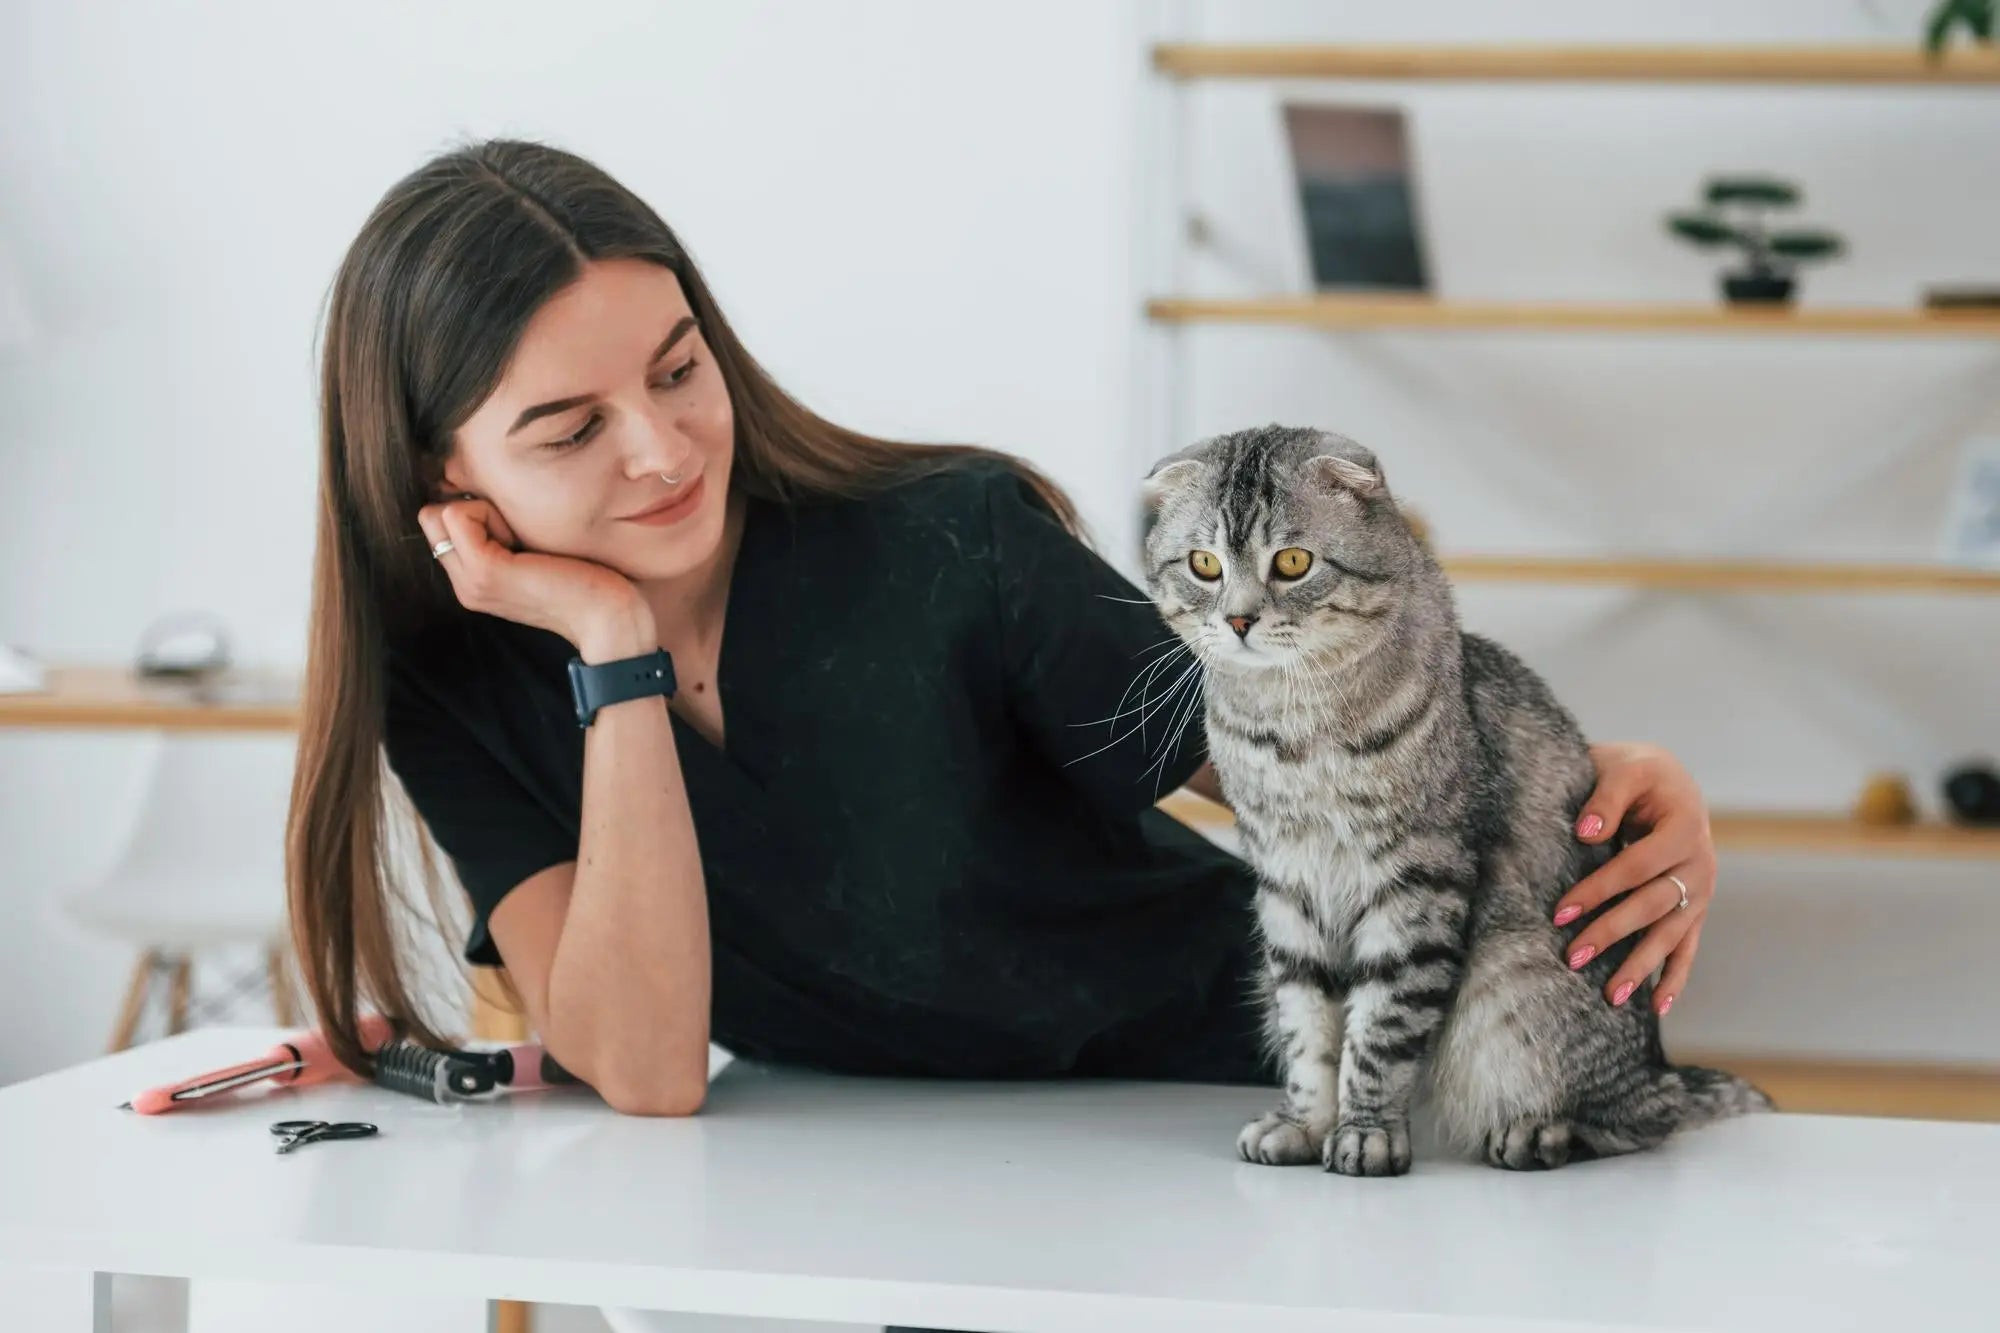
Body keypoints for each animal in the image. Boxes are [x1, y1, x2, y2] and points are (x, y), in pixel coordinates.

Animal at [1144, 426, 1768, 1176]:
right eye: (1203, 564)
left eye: (1292, 562)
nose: (1237, 619)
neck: (1290, 724)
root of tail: (1661, 1068)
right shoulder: (1286, 886)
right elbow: (1307, 1029)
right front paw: (1305, 1123)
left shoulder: (1418, 879)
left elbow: (1380, 1032)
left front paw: (1366, 1133)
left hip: (1513, 989)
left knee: (1641, 1120)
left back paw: (1540, 1132)